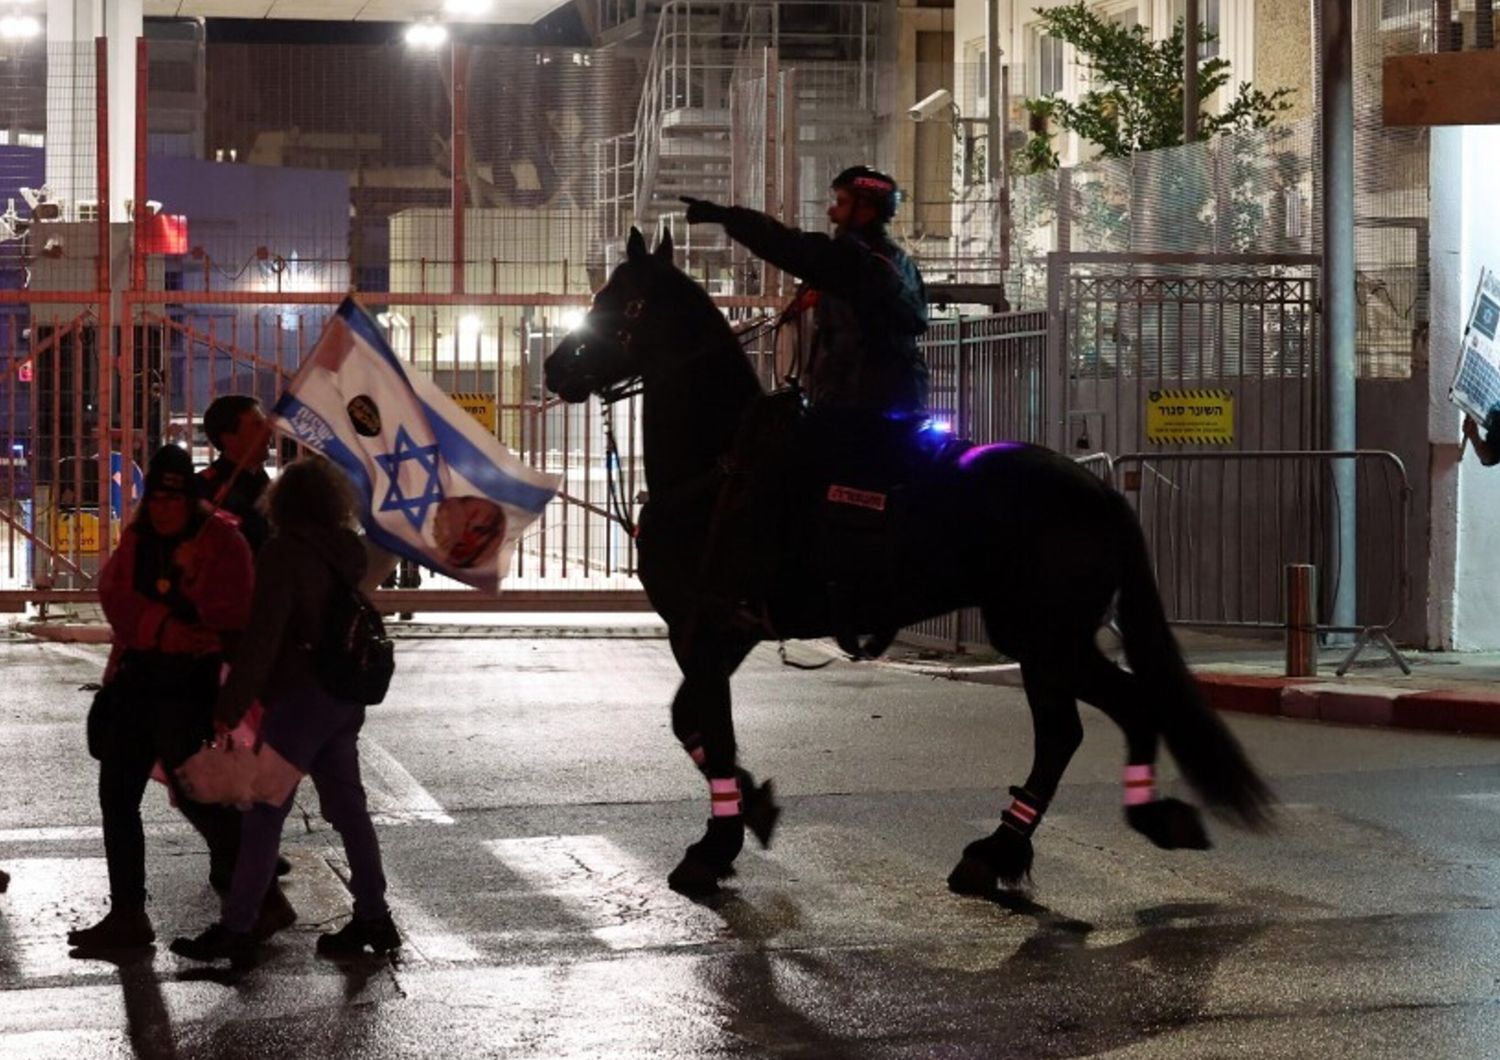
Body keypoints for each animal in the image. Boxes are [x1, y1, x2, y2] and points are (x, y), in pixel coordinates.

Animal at [540, 227, 1266, 899]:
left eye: (626, 303)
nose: (556, 367)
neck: (721, 464)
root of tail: (1100, 490)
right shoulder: (723, 634)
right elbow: (691, 721)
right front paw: (751, 806)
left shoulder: (711, 628)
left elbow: (708, 728)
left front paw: (714, 847)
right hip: (1048, 641)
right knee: (1117, 712)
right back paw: (1109, 825)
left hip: (1043, 638)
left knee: (1068, 732)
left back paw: (1000, 851)